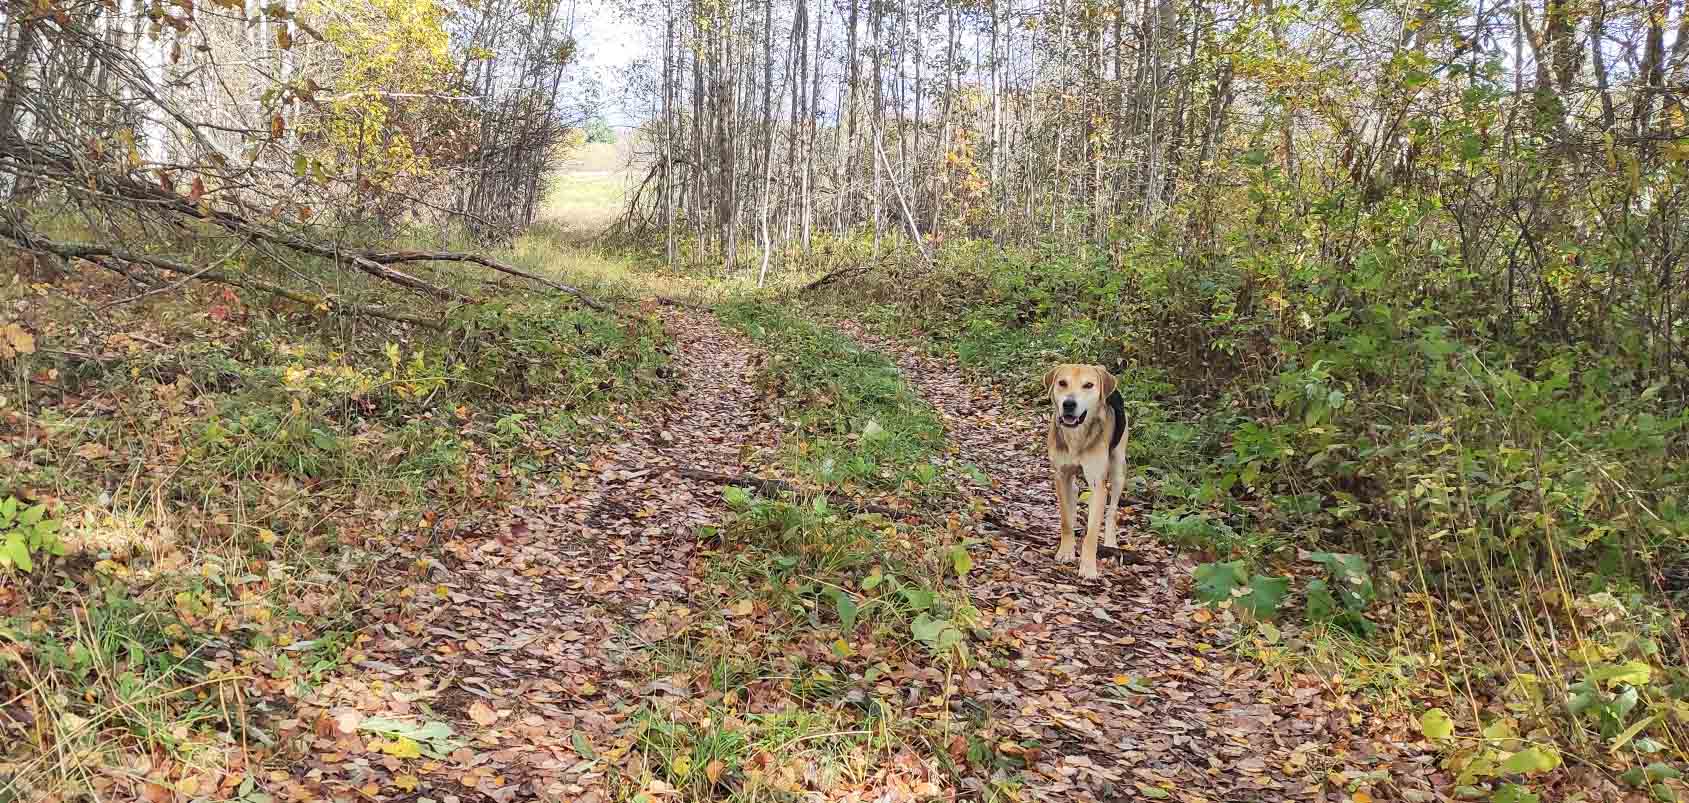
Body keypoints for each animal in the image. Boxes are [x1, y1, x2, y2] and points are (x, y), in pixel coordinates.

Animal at [1040, 363, 1121, 578]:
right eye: (1062, 383)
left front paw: (1089, 567)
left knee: (1112, 510)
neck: (1076, 434)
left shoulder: (1098, 484)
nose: (1069, 404)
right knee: (1074, 492)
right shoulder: (1061, 475)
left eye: (1088, 385)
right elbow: (1065, 520)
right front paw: (1066, 550)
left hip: (1119, 466)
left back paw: (1111, 542)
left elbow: (1091, 534)